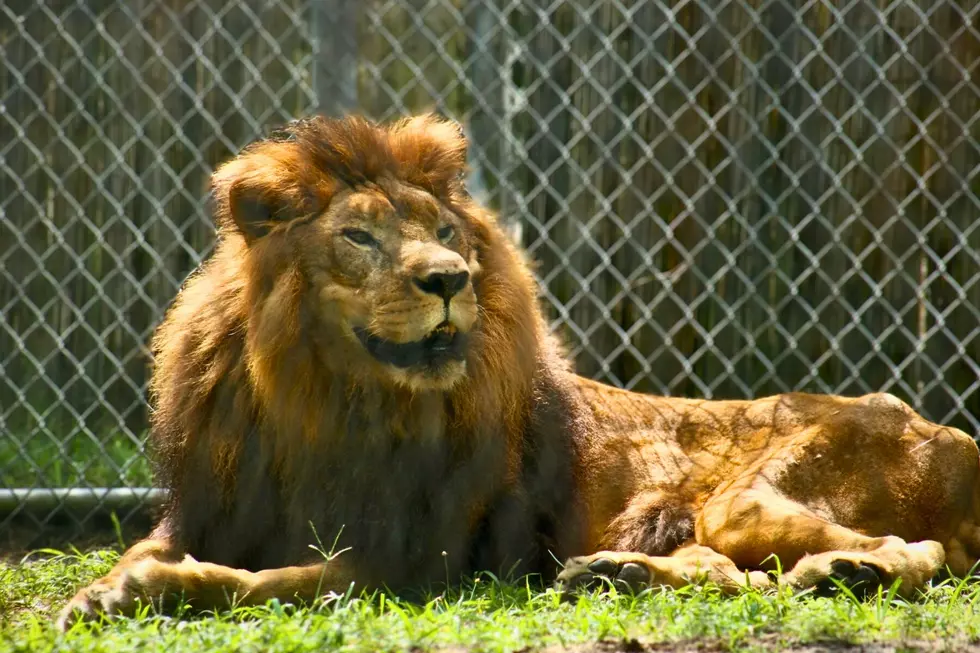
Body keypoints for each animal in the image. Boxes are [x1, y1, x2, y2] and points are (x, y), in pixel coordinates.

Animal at [61, 113, 980, 628]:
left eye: (445, 232)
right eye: (359, 236)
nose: (447, 279)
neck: (325, 402)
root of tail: (955, 437)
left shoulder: (414, 564)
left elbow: (273, 582)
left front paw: (155, 589)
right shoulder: (206, 505)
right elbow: (148, 551)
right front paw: (96, 593)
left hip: (753, 497)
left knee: (919, 549)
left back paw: (846, 571)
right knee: (724, 571)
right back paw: (616, 573)